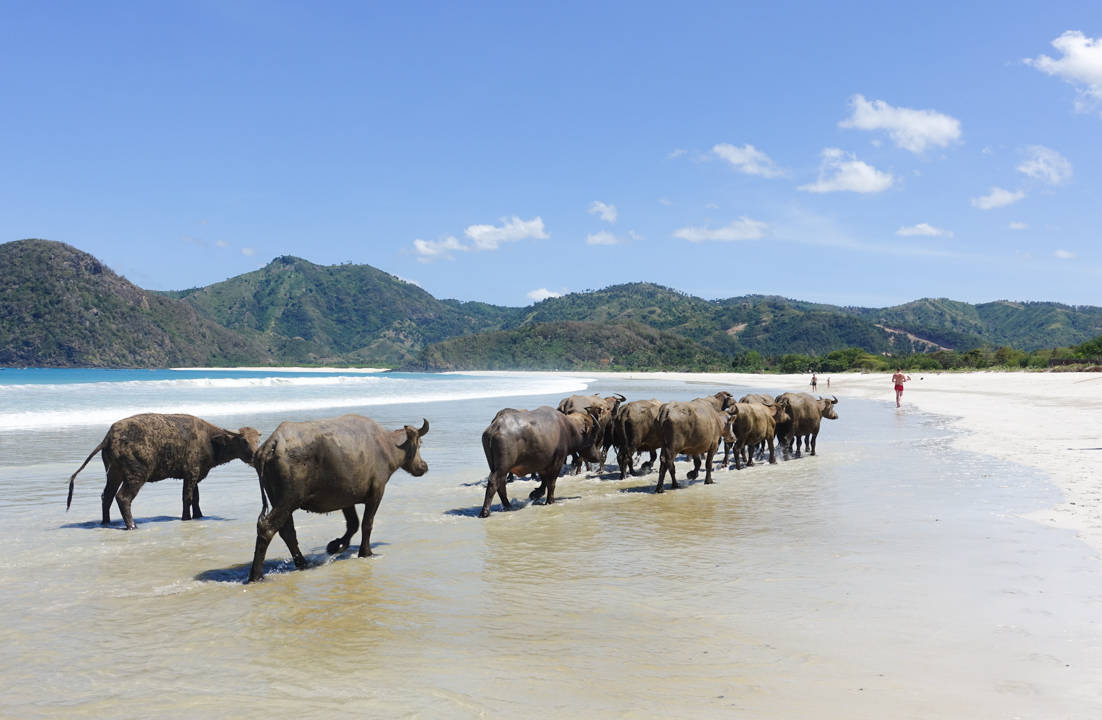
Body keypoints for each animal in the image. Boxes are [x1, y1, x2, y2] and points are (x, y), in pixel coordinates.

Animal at [66, 414, 260, 527]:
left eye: (257, 440)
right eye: (244, 440)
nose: (256, 455)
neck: (209, 440)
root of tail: (108, 437)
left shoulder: (195, 475)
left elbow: (196, 498)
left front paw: (198, 516)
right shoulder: (191, 473)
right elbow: (187, 497)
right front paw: (186, 518)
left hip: (114, 473)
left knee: (106, 496)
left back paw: (106, 522)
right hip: (135, 475)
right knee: (122, 498)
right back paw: (132, 525)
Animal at [247, 412, 427, 582]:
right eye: (419, 444)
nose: (424, 466)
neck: (386, 446)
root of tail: (272, 444)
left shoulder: (346, 498)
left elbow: (353, 524)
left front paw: (336, 545)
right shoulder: (377, 492)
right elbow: (366, 524)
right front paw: (365, 552)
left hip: (280, 501)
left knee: (287, 532)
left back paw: (302, 563)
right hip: (288, 500)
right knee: (267, 528)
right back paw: (256, 575)